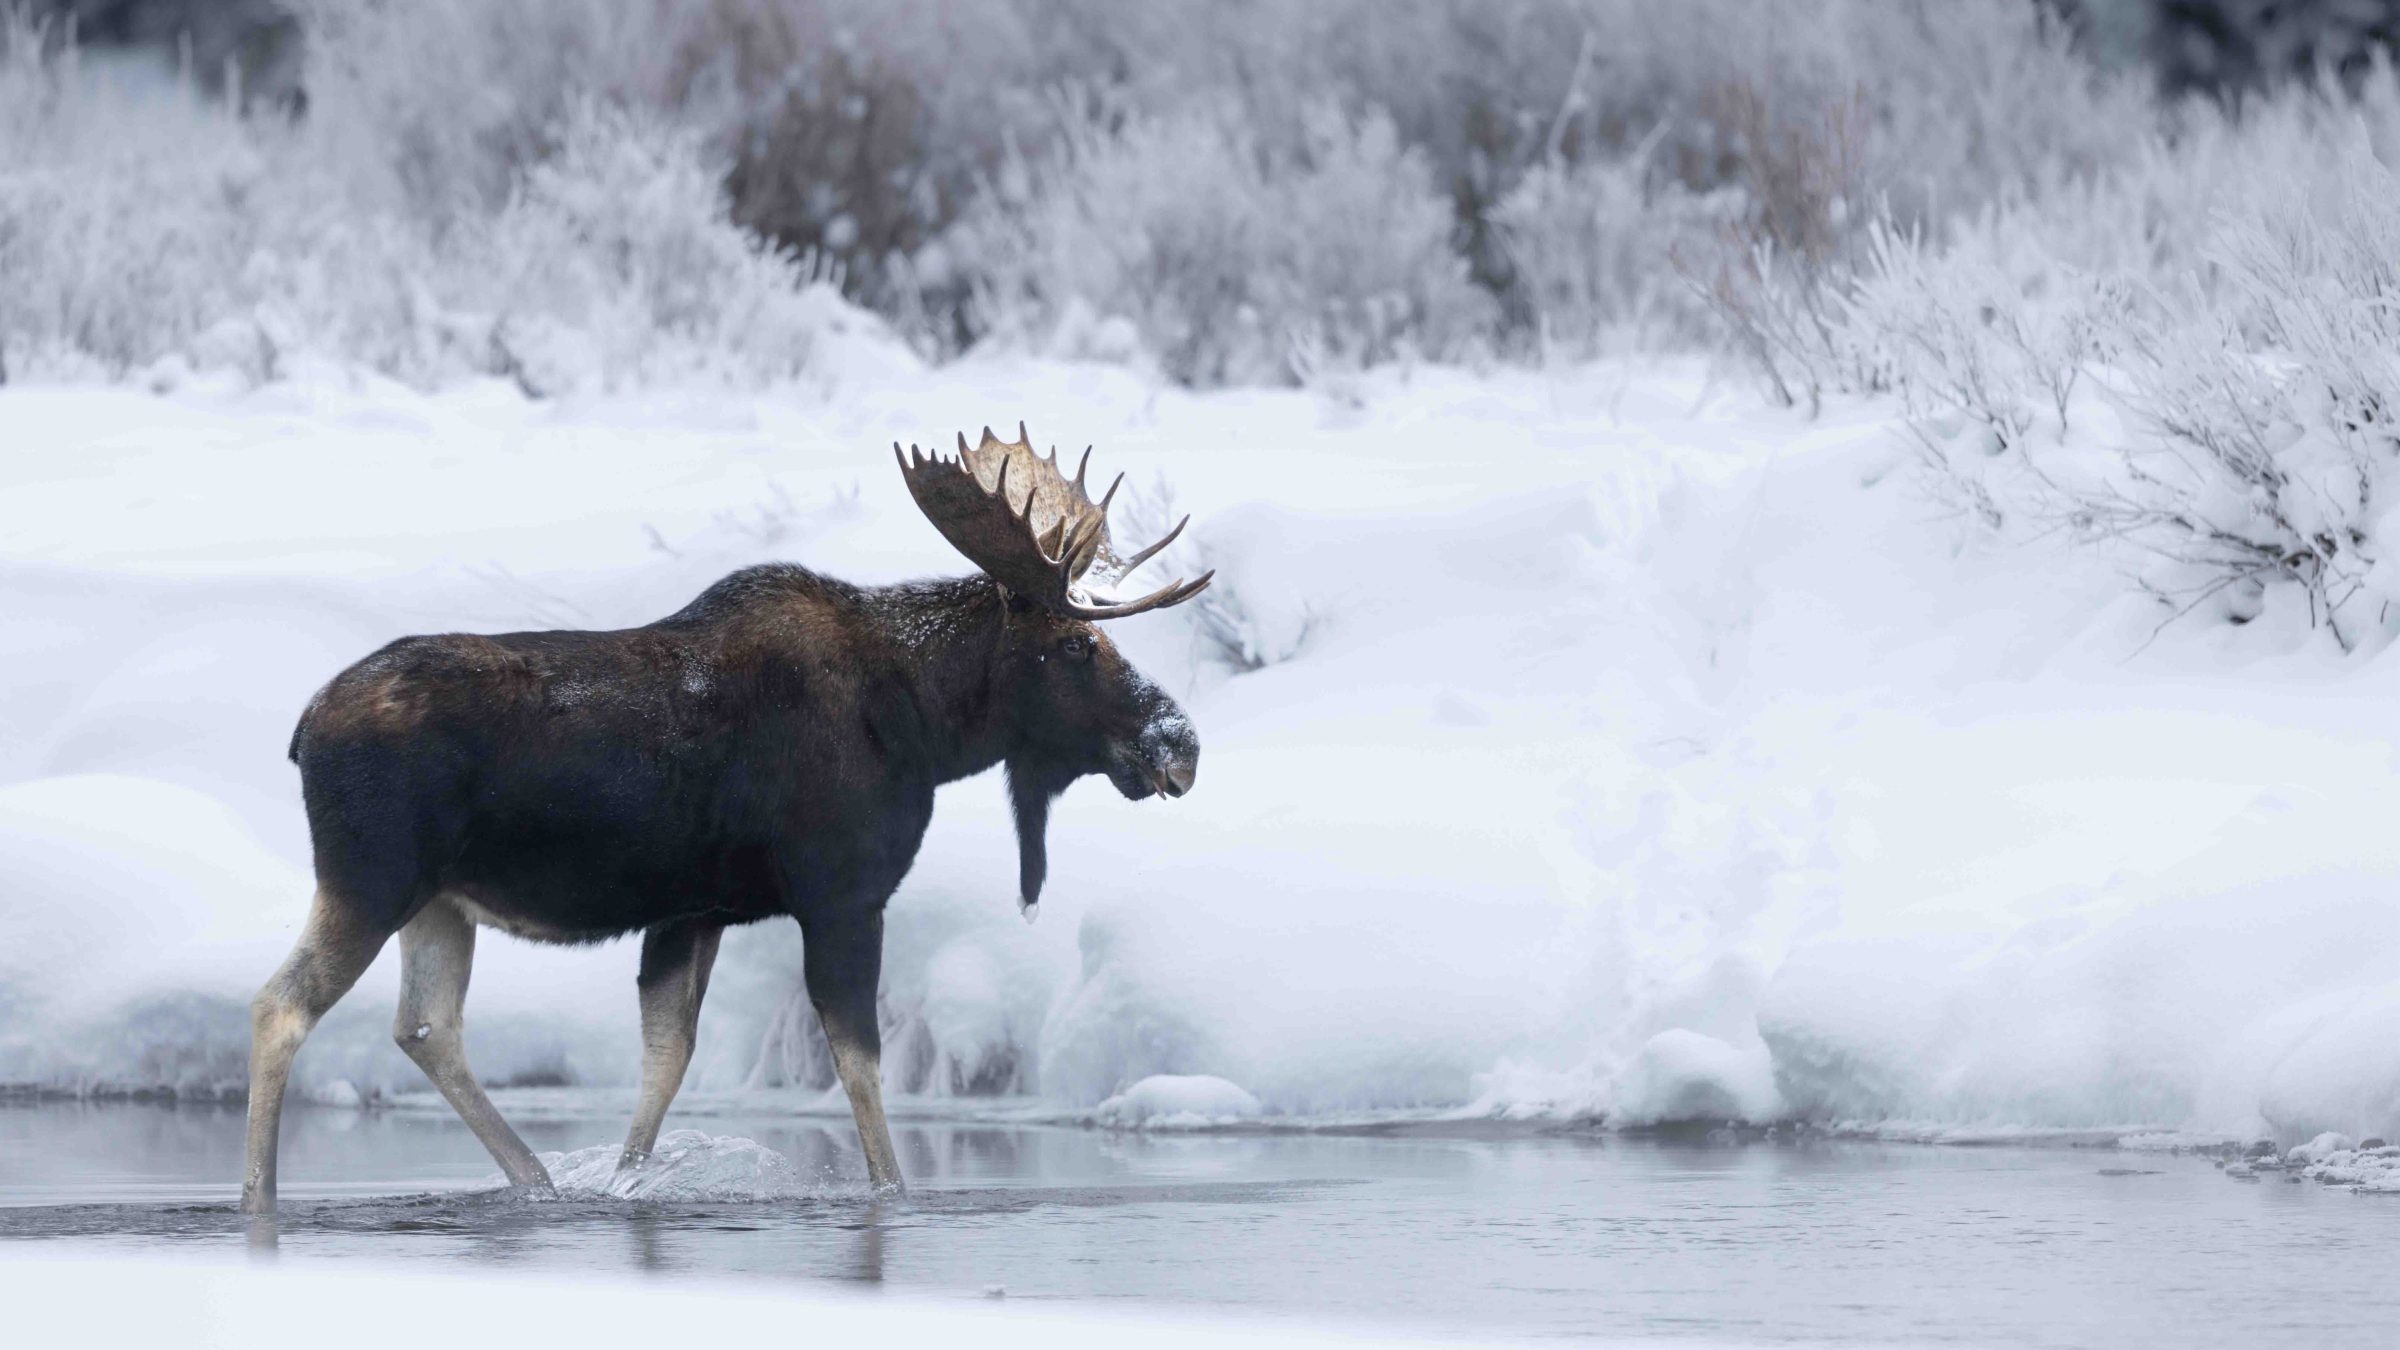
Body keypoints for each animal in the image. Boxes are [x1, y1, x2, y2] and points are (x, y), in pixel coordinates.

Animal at [240, 426, 1211, 1213]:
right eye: (1078, 644)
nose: (1180, 742)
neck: (927, 726)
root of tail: (300, 731)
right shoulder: (843, 895)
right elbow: (858, 1066)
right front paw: (892, 1195)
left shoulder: (692, 910)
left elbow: (665, 1064)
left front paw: (625, 1184)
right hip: (370, 878)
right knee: (281, 1005)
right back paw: (260, 1196)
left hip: (441, 901)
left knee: (426, 1028)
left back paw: (538, 1182)